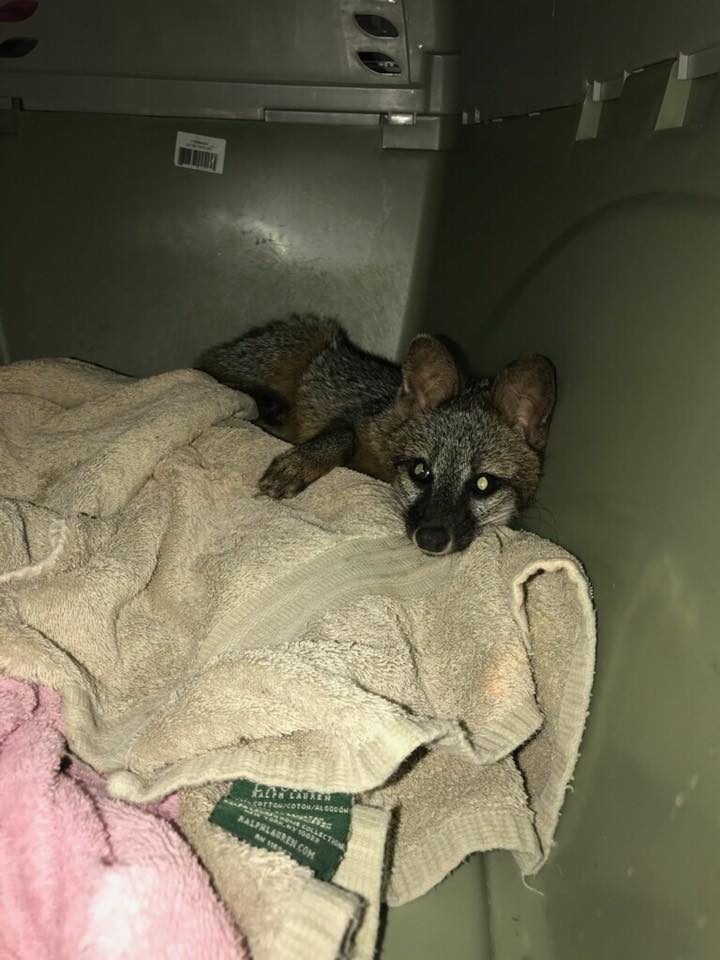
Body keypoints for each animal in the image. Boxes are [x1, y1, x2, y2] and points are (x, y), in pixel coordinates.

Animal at [196, 314, 556, 555]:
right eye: (421, 471)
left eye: (483, 484)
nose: (430, 539)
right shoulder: (356, 420)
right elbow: (342, 435)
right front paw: (297, 465)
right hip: (309, 338)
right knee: (212, 373)